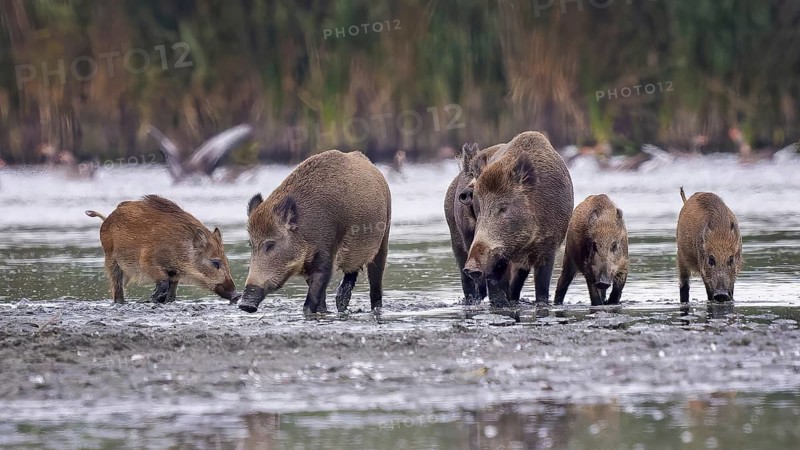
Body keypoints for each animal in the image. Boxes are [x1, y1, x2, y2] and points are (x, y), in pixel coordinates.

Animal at [85, 195, 239, 304]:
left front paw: (163, 299)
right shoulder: (147, 261)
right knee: (117, 288)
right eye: (215, 262)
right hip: (111, 260)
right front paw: (153, 298)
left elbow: (172, 289)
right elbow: (163, 281)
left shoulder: (175, 273)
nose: (237, 295)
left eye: (226, 261)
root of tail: (108, 218)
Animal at [239, 149, 391, 315]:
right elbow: (320, 298)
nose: (244, 305)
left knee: (375, 283)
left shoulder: (326, 254)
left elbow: (313, 296)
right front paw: (324, 311)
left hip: (384, 238)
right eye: (250, 244)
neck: (305, 231)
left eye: (270, 244)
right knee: (350, 275)